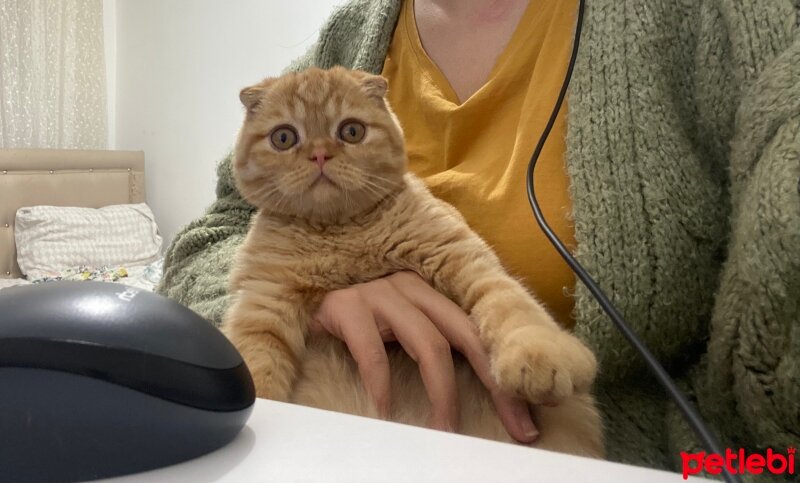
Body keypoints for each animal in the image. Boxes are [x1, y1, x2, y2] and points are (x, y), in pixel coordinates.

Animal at [222, 67, 604, 458]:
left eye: (351, 131)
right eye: (284, 137)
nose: (319, 155)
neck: (340, 235)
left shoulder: (460, 254)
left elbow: (509, 302)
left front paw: (539, 351)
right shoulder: (262, 302)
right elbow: (257, 368)